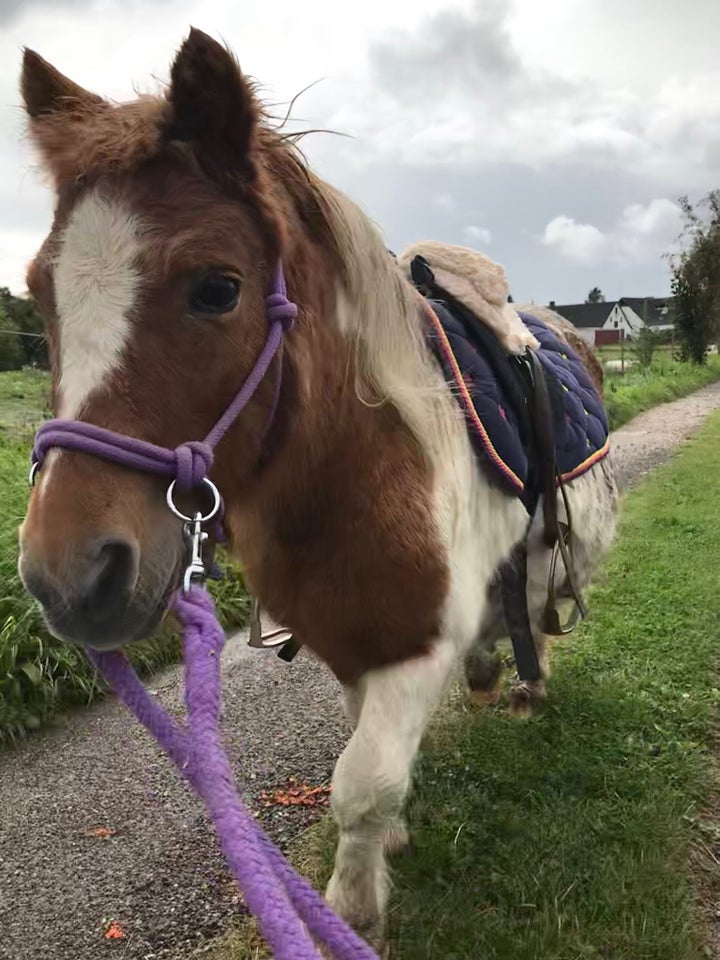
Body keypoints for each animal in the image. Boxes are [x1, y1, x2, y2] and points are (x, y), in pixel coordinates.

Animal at [18, 28, 620, 944]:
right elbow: (360, 754)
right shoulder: (348, 641)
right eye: (36, 291)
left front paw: (356, 905)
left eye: (217, 287)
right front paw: (388, 846)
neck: (351, 480)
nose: (67, 577)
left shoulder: (415, 645)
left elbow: (361, 782)